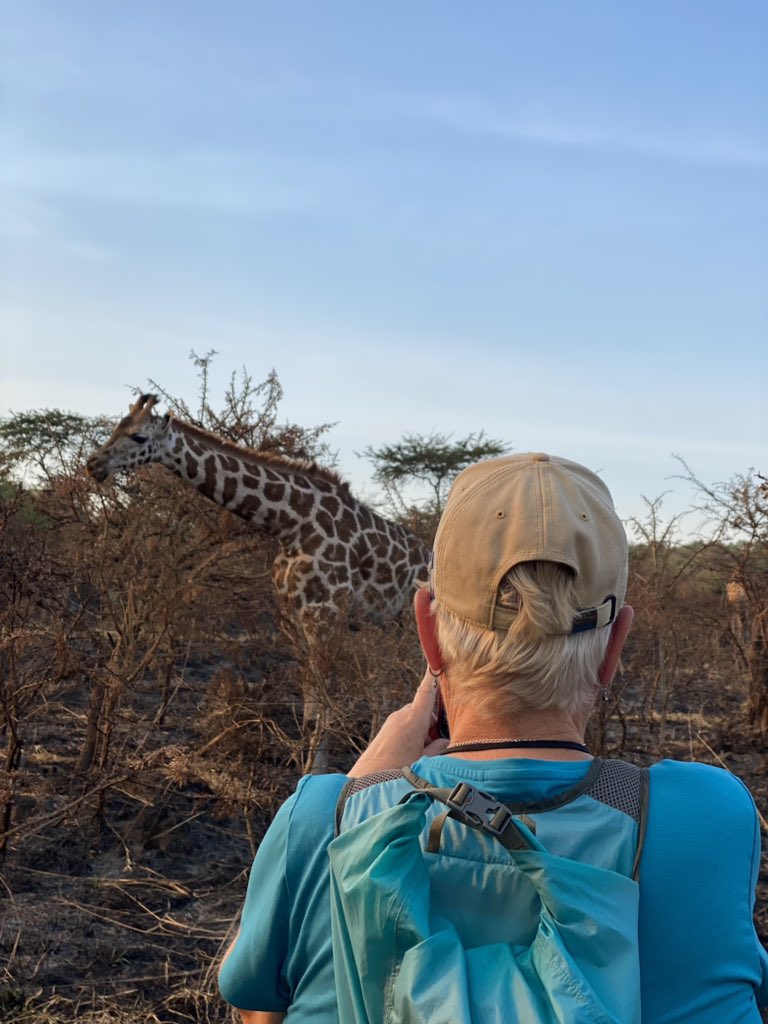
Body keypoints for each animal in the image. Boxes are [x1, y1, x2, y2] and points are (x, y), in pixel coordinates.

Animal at [86, 394, 431, 768]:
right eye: (116, 427)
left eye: (138, 437)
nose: (93, 465)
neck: (291, 523)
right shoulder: (292, 615)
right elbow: (310, 707)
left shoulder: (324, 613)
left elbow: (325, 702)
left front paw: (316, 769)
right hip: (389, 625)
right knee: (388, 685)